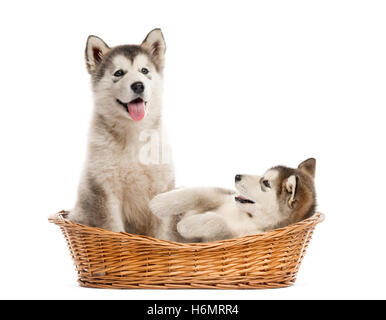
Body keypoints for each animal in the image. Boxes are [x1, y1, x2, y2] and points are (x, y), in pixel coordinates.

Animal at [68, 29, 174, 235]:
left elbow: (163, 233)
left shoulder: (162, 187)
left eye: (144, 71)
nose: (138, 85)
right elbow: (114, 228)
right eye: (119, 73)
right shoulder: (106, 191)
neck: (134, 132)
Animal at [150, 158, 316, 242]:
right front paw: (160, 203)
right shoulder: (223, 195)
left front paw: (187, 225)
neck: (249, 217)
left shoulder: (239, 236)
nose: (237, 176)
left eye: (266, 183)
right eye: (263, 175)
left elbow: (218, 223)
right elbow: (198, 193)